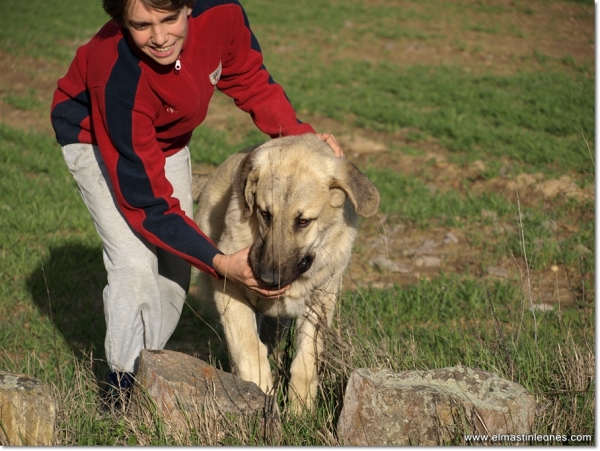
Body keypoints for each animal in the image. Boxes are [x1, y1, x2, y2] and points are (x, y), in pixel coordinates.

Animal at [192, 133, 380, 414]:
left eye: (303, 221)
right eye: (265, 214)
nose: (268, 279)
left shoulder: (320, 300)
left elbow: (306, 362)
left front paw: (300, 411)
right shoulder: (229, 290)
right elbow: (249, 351)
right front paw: (262, 400)